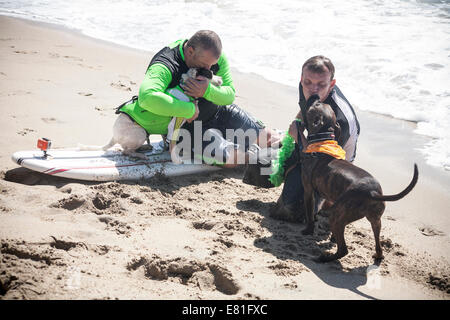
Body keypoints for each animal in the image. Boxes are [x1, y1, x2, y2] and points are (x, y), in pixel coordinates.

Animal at [298, 102, 418, 262]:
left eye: (316, 105)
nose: (317, 99)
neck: (323, 140)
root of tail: (373, 193)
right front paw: (332, 238)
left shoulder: (308, 191)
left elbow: (310, 215)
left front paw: (308, 231)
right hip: (375, 220)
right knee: (378, 245)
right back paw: (377, 255)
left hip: (336, 216)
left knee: (343, 250)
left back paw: (325, 258)